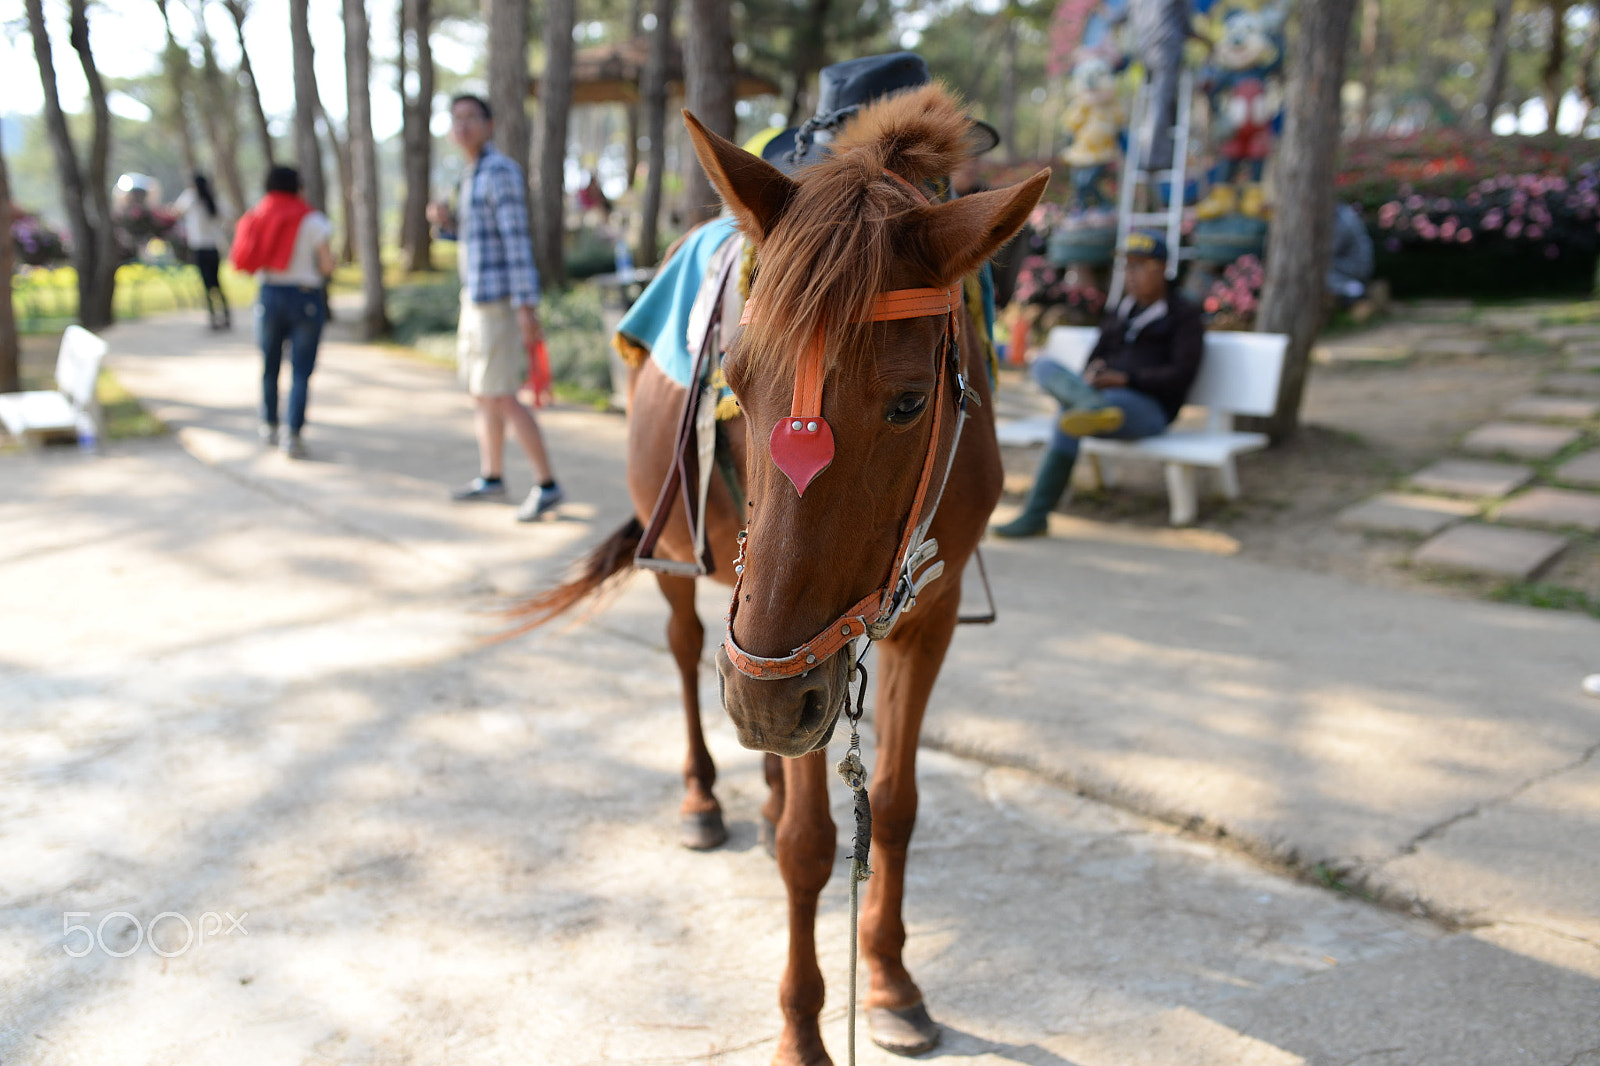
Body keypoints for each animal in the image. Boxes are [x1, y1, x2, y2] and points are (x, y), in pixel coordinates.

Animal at [515, 87, 1049, 1056]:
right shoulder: (791, 658)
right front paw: (803, 1030)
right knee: (688, 650)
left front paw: (889, 978)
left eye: (910, 402)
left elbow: (897, 808)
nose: (764, 700)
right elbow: (809, 843)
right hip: (690, 559)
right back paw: (705, 797)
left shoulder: (922, 619)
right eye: (733, 375)